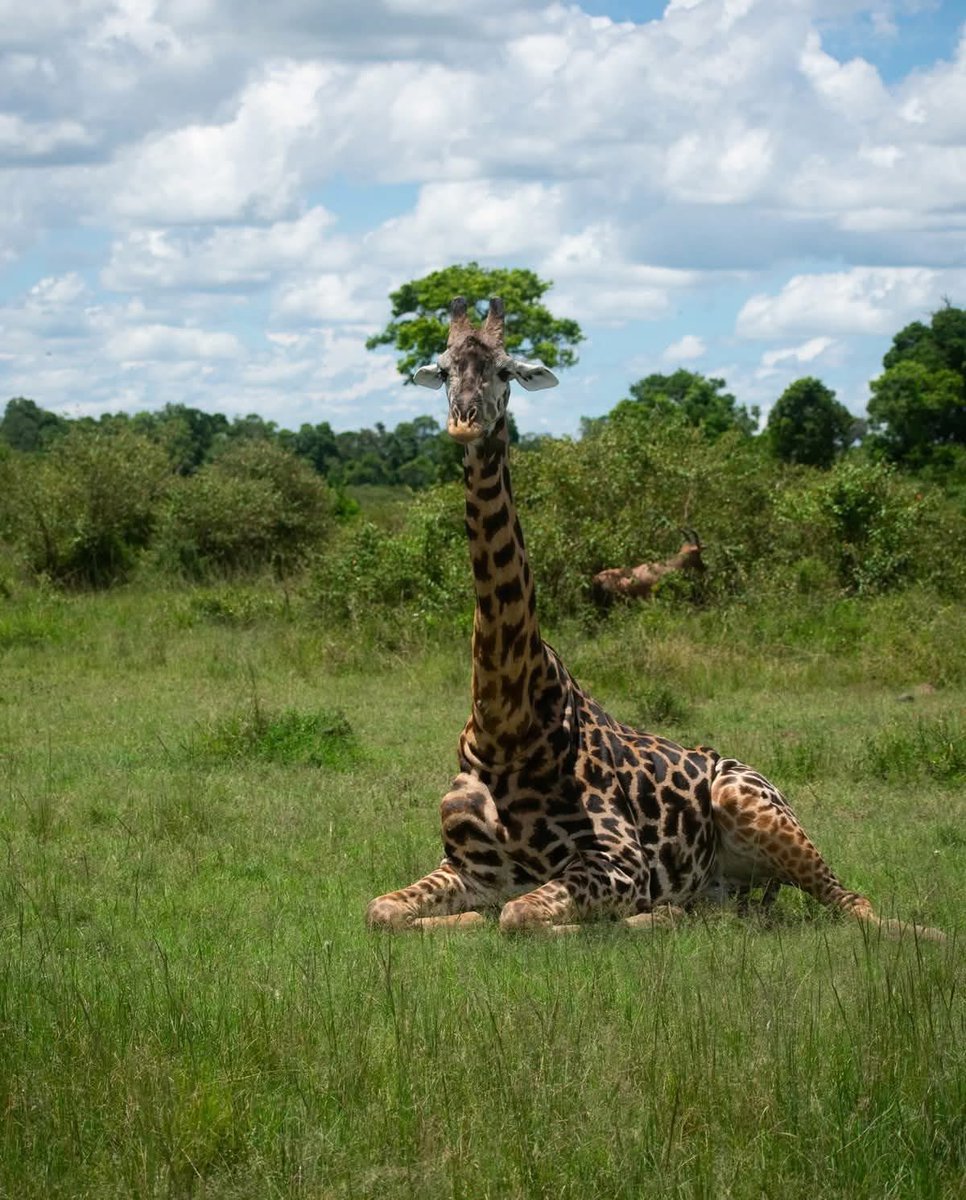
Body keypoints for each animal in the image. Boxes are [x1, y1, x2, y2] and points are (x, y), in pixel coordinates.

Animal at [365, 297, 943, 940]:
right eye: (442, 369)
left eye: (507, 369)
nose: (466, 421)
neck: (505, 721)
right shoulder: (469, 865)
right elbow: (382, 909)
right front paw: (461, 920)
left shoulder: (622, 861)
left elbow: (519, 916)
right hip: (732, 890)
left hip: (750, 803)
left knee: (854, 904)